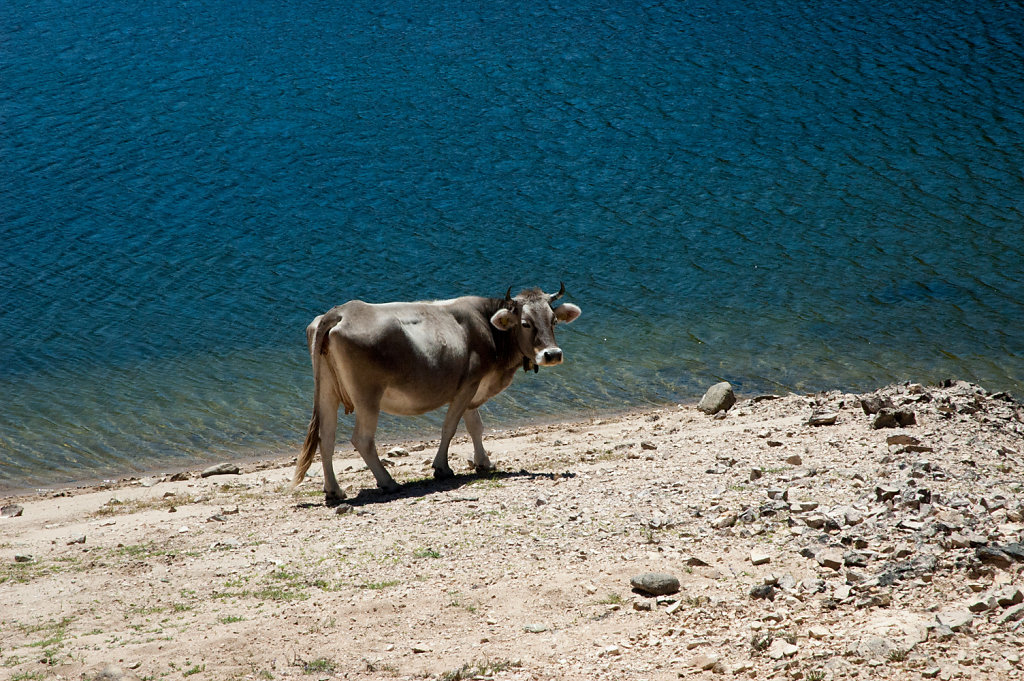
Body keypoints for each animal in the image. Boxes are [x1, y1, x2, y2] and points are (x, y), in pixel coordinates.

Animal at [292, 284, 581, 501]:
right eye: (525, 323)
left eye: (554, 320)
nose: (552, 354)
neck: (488, 327)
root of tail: (342, 311)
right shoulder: (467, 385)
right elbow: (450, 427)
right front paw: (442, 468)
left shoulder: (474, 388)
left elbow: (475, 426)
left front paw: (484, 463)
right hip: (367, 397)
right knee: (362, 440)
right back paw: (388, 482)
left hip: (327, 392)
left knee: (326, 439)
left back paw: (334, 490)